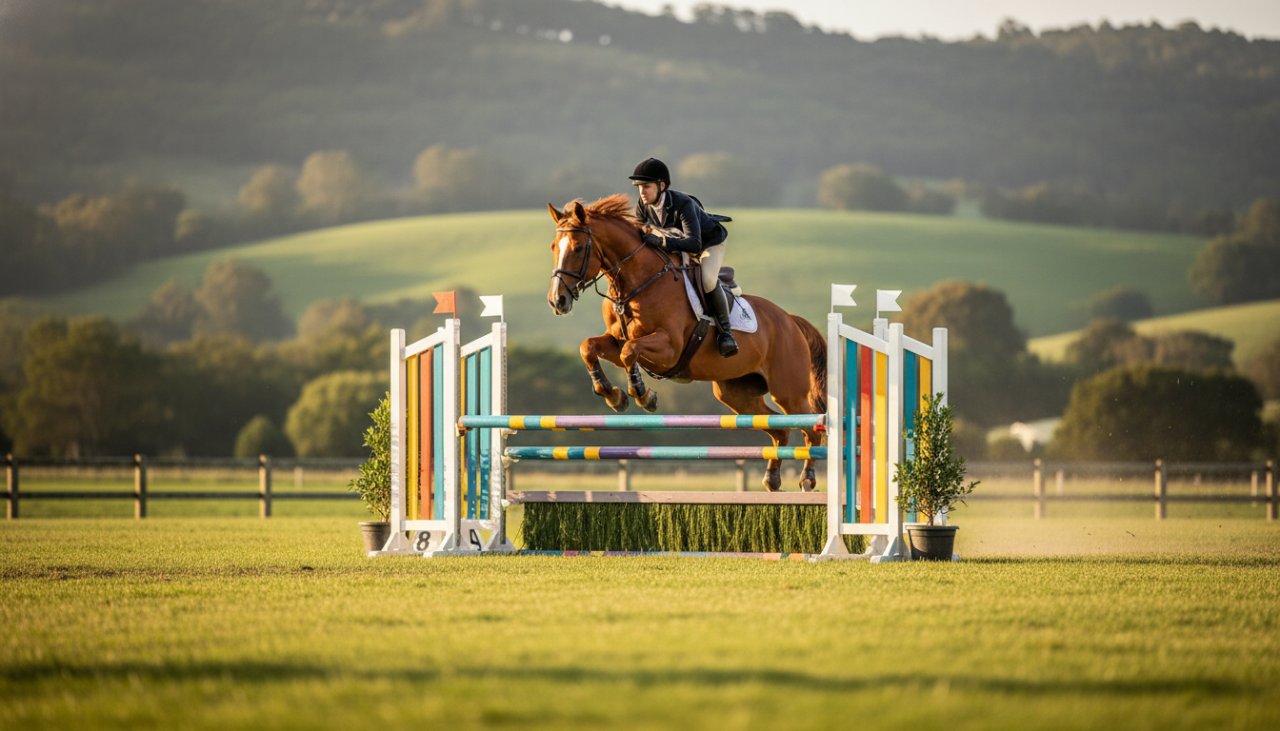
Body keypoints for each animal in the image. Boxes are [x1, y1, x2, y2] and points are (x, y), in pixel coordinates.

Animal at [546, 194, 827, 492]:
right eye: (553, 247)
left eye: (578, 248)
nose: (557, 301)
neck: (637, 283)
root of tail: (790, 320)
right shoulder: (615, 340)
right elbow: (589, 346)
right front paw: (613, 395)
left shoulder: (669, 349)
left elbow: (629, 352)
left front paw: (643, 395)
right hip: (735, 393)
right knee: (780, 428)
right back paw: (772, 478)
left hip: (788, 391)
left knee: (810, 428)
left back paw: (807, 478)